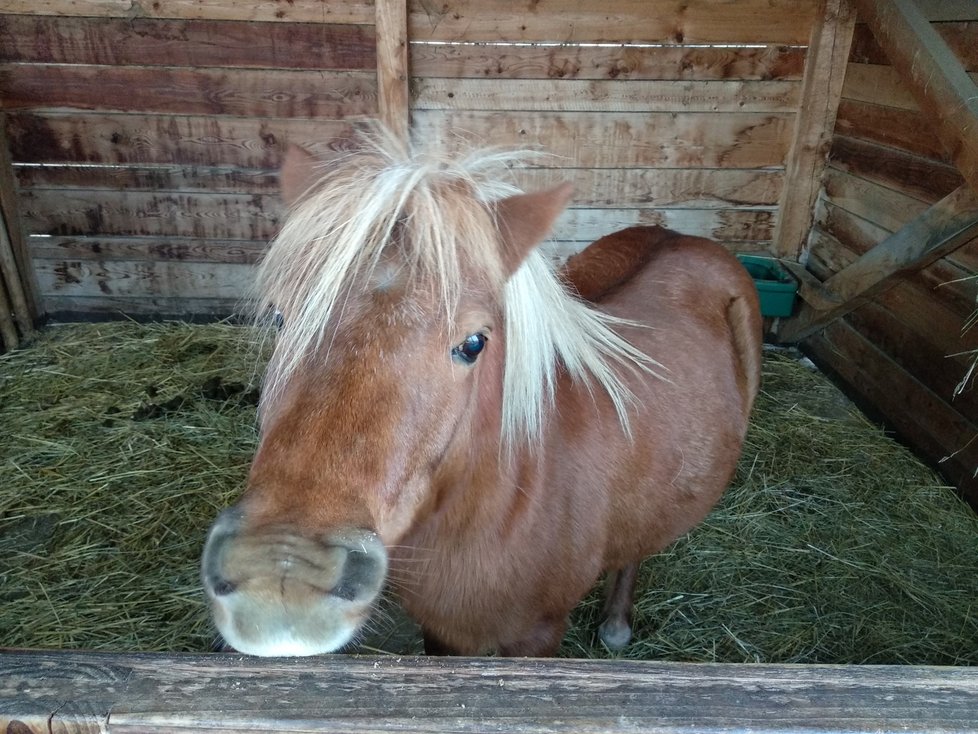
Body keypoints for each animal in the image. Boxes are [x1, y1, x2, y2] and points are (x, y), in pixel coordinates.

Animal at [200, 123, 764, 660]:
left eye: (473, 343)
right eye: (279, 317)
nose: (281, 577)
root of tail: (683, 239)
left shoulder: (538, 635)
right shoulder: (441, 631)